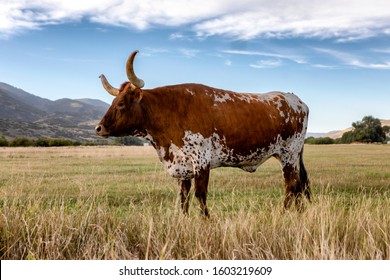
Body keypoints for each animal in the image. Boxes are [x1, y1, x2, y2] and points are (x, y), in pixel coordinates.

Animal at [96, 50, 310, 217]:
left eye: (121, 104)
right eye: (113, 102)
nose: (99, 128)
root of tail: (297, 101)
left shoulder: (201, 159)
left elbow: (200, 194)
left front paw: (207, 220)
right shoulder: (182, 165)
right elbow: (183, 197)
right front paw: (184, 220)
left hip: (289, 154)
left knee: (291, 186)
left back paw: (283, 214)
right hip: (286, 156)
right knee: (298, 185)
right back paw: (298, 214)